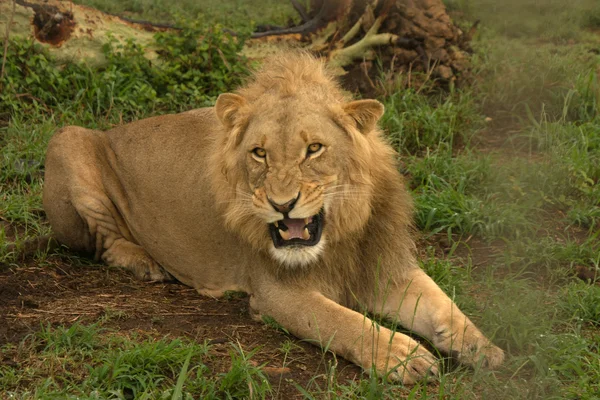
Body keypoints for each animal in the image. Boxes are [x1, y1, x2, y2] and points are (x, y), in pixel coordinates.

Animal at [42, 51, 504, 382]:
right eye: (259, 153)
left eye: (314, 149)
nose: (283, 204)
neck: (339, 237)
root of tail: (110, 130)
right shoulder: (276, 292)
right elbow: (342, 321)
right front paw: (400, 355)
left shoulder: (383, 265)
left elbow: (442, 302)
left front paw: (480, 346)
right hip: (66, 137)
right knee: (102, 244)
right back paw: (145, 263)